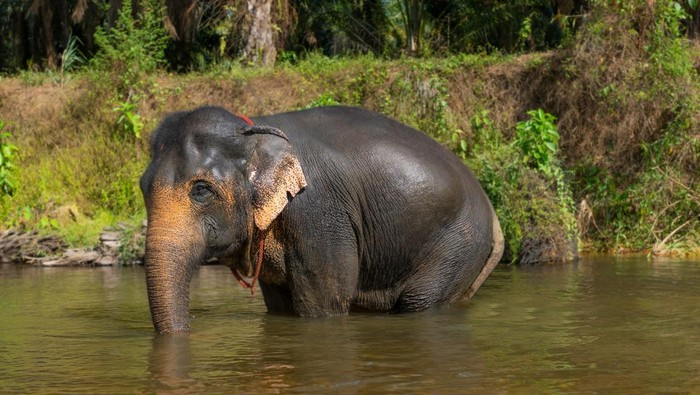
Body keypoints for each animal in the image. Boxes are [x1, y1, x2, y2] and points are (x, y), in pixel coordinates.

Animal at [142, 105, 504, 334]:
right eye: (143, 186)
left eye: (201, 190)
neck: (253, 129)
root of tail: (490, 207)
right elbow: (280, 304)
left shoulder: (320, 213)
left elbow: (323, 303)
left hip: (458, 245)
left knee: (421, 301)